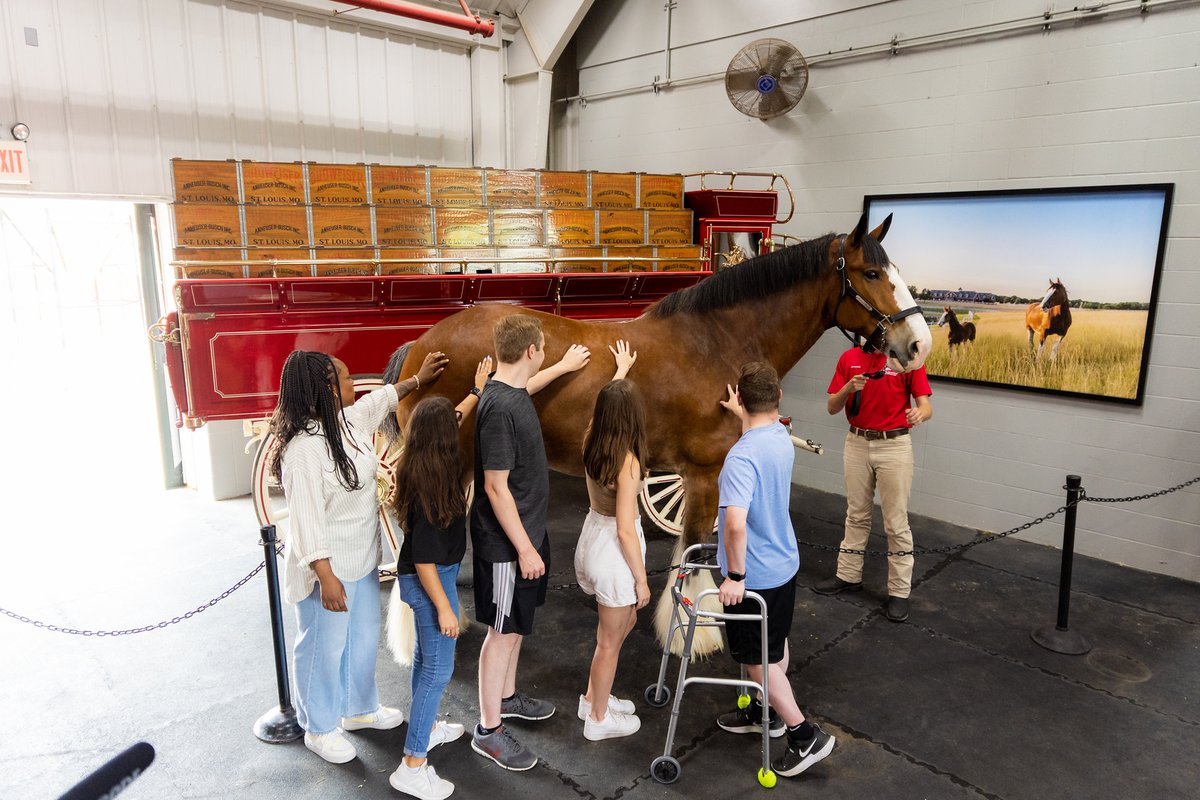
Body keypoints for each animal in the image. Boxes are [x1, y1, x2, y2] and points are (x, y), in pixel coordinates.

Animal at [387, 212, 932, 655]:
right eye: (871, 273)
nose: (919, 343)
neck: (716, 343)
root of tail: (423, 346)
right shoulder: (705, 475)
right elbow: (695, 551)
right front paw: (696, 636)